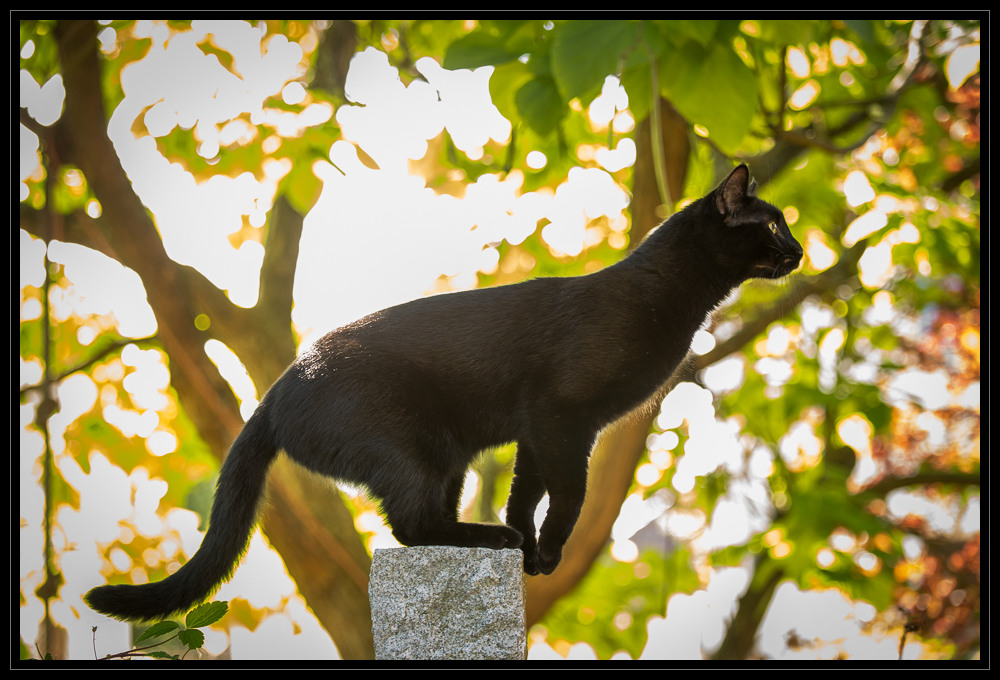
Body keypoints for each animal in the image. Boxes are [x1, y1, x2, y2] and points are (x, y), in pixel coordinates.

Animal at [86, 163, 804, 620]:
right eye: (772, 227)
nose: (799, 250)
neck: (665, 296)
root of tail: (278, 386)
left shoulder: (538, 429)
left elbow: (526, 490)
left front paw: (531, 551)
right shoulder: (564, 419)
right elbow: (568, 497)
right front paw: (544, 550)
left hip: (450, 458)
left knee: (419, 528)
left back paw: (495, 537)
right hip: (418, 450)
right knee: (410, 527)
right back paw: (488, 538)